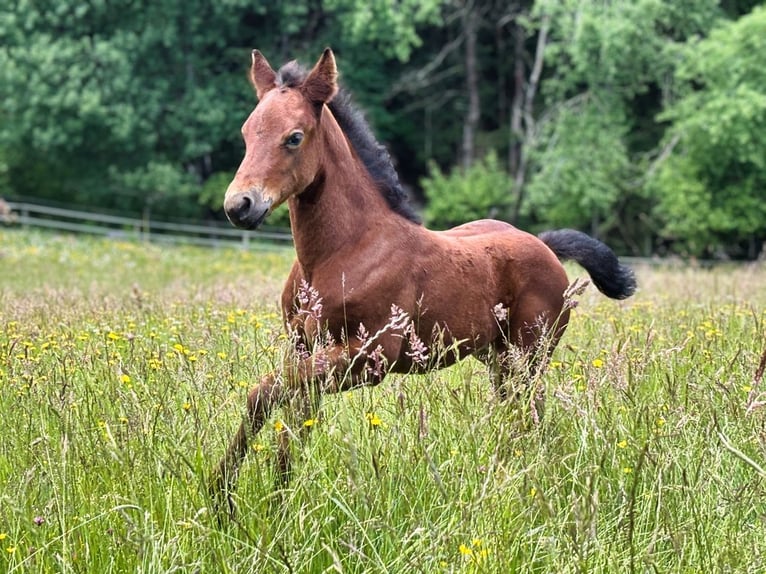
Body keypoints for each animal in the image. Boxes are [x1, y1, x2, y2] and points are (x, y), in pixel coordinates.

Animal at [213, 48, 636, 499]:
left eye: (294, 137)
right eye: (247, 132)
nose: (239, 205)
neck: (342, 253)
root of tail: (544, 246)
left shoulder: (369, 358)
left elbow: (263, 394)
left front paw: (223, 493)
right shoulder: (304, 348)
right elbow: (289, 421)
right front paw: (266, 498)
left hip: (530, 355)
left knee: (532, 415)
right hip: (498, 357)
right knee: (512, 413)